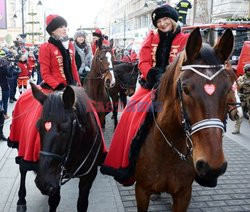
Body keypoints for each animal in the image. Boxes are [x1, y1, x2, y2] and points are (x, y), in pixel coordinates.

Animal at [31, 83, 105, 211]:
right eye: (38, 127)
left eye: (64, 130)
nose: (43, 182)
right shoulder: (56, 177)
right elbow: (54, 201)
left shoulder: (88, 177)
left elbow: (82, 204)